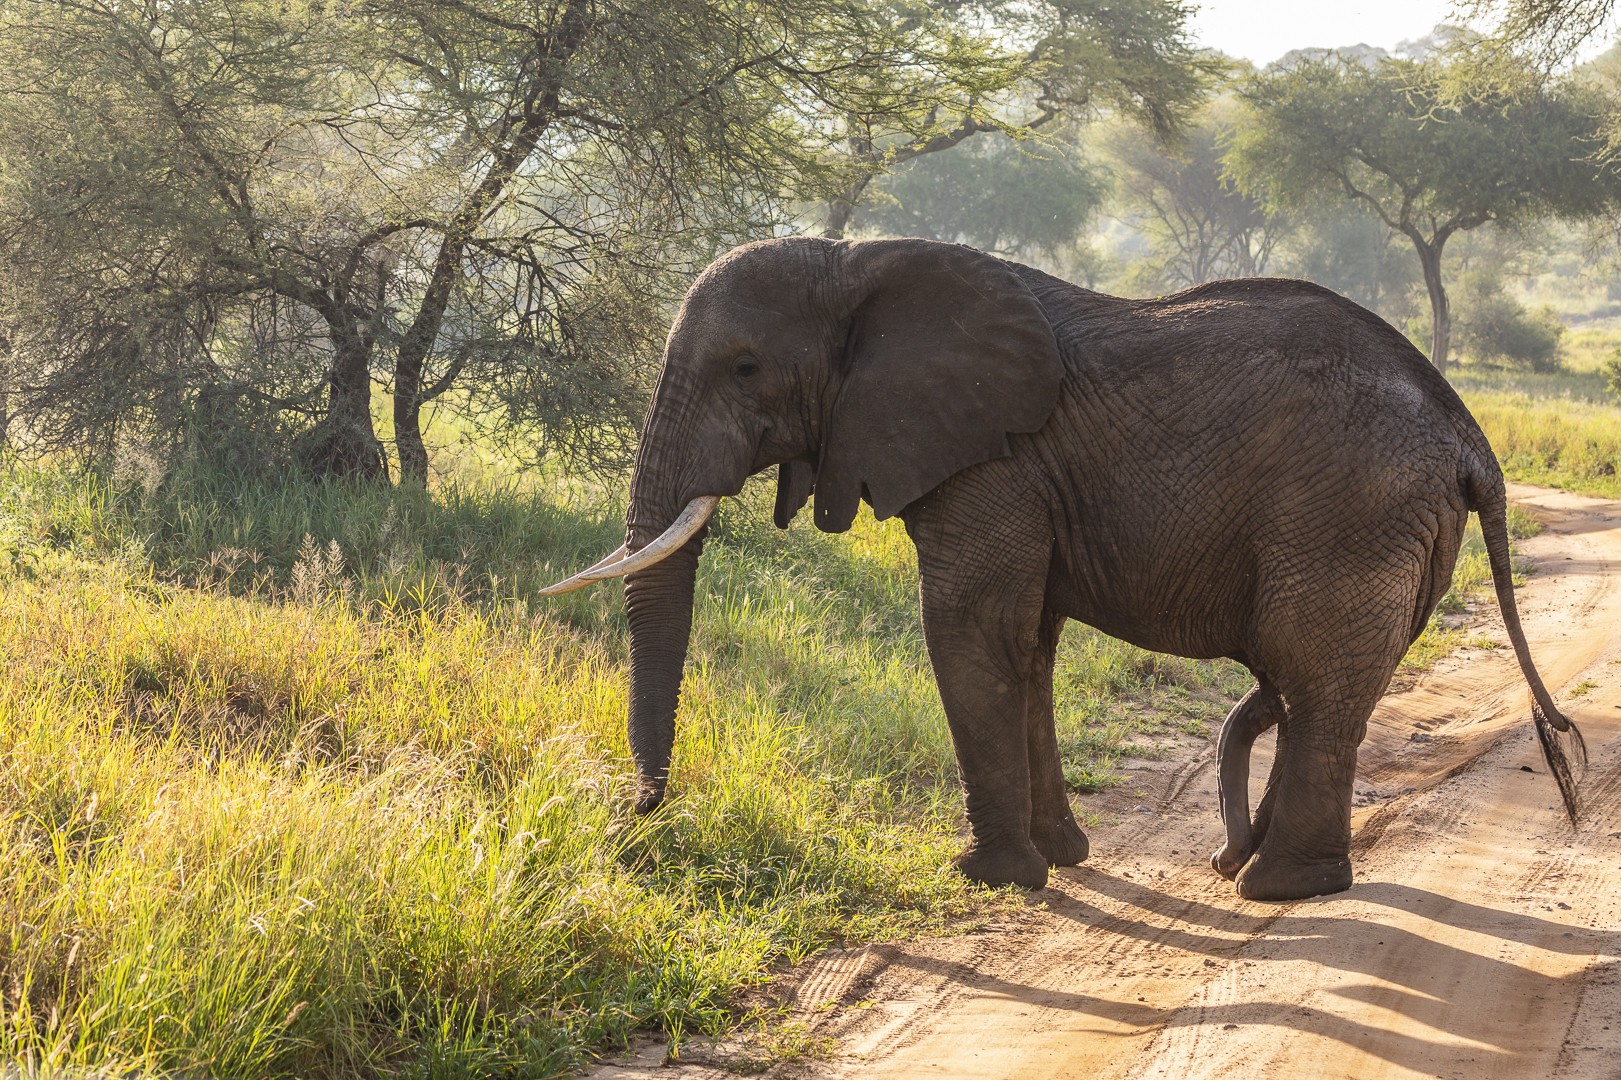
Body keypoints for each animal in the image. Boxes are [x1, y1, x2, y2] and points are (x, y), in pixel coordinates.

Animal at [541, 235, 1582, 901]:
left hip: (1349, 517)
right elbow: (1030, 643)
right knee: (1312, 684)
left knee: (1311, 678)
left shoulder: (990, 462)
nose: (639, 813)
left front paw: (989, 876)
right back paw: (1247, 873)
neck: (854, 261)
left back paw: (1276, 891)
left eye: (746, 368)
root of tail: (1469, 439)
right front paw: (1062, 857)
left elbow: (971, 630)